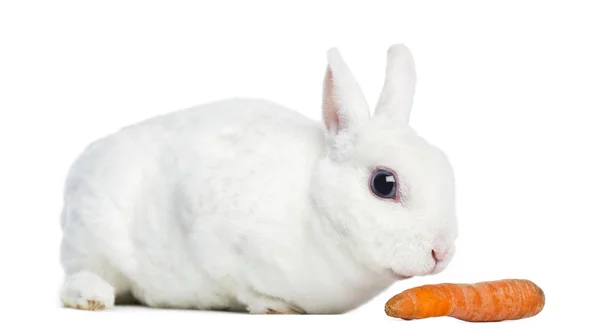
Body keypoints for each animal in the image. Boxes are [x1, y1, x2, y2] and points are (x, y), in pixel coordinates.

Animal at [58, 43, 458, 314]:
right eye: (383, 183)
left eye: (445, 167)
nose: (441, 252)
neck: (312, 209)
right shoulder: (215, 241)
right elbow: (242, 286)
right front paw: (275, 307)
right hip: (93, 240)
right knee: (80, 277)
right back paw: (93, 298)